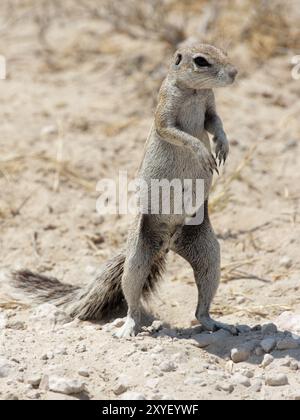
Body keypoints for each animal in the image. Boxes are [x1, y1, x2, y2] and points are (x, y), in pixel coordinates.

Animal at [11, 42, 237, 338]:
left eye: (224, 51)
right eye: (201, 61)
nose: (234, 73)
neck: (195, 91)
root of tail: (167, 243)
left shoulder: (209, 106)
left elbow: (215, 122)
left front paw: (223, 143)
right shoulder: (164, 109)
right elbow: (174, 132)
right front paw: (202, 151)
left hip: (208, 253)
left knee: (202, 301)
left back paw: (214, 322)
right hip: (136, 259)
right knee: (132, 297)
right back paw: (129, 326)